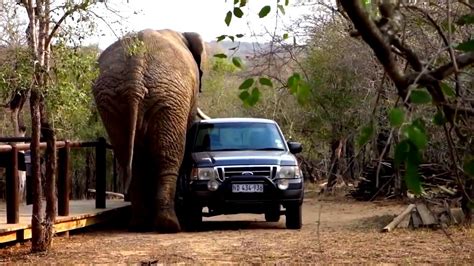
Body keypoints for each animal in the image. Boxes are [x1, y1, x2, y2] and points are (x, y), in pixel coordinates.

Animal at [93, 29, 208, 233]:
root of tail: (135, 68)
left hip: (111, 99)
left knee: (129, 159)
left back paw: (139, 224)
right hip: (171, 98)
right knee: (168, 157)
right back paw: (169, 226)